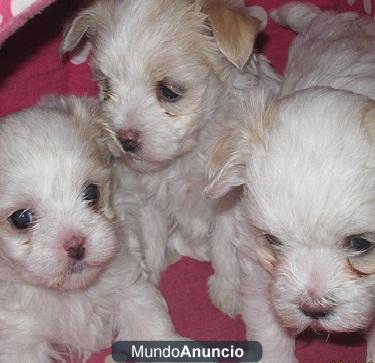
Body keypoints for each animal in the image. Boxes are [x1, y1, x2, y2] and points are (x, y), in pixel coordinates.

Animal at [0, 96, 181, 363]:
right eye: (21, 219)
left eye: (91, 192)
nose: (76, 245)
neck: (72, 293)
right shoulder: (19, 337)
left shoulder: (128, 282)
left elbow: (150, 322)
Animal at [61, 0, 280, 318]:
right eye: (107, 87)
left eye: (169, 91)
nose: (125, 139)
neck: (184, 157)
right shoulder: (149, 201)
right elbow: (151, 241)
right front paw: (150, 276)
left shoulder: (229, 202)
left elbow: (225, 246)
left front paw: (227, 290)